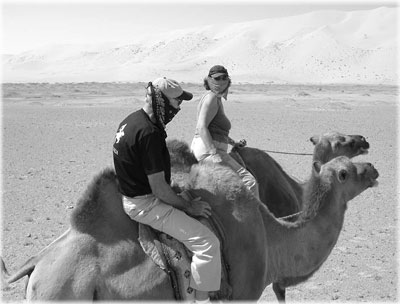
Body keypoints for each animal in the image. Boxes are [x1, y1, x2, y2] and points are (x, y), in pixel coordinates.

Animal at [0, 153, 378, 300]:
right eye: (346, 172)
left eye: (351, 162)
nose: (374, 168)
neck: (273, 240)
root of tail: (36, 265)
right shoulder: (241, 293)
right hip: (62, 291)